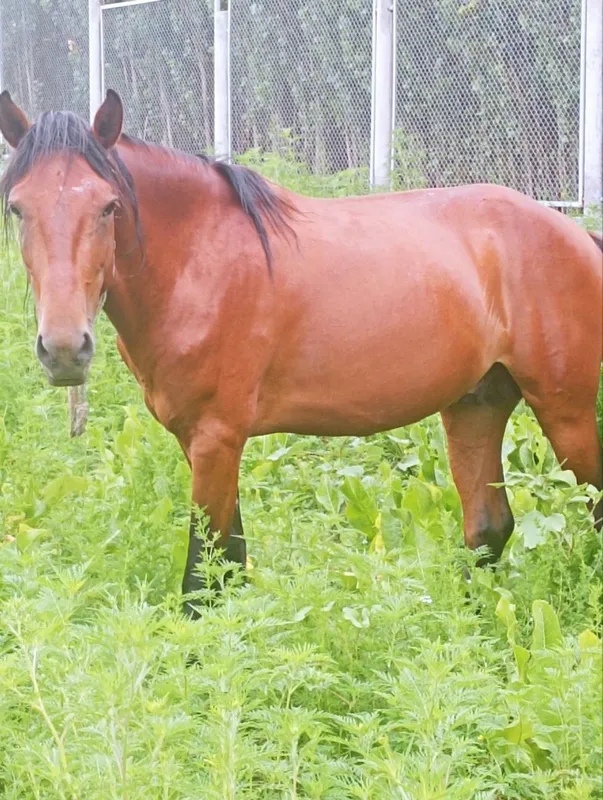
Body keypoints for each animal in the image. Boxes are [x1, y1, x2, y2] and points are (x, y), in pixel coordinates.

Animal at [1, 90, 601, 617]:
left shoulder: (217, 438)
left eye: (109, 206)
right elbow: (230, 561)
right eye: (18, 208)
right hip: (476, 406)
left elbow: (202, 573)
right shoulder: (200, 442)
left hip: (565, 411)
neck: (198, 259)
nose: (64, 349)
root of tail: (574, 234)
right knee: (487, 528)